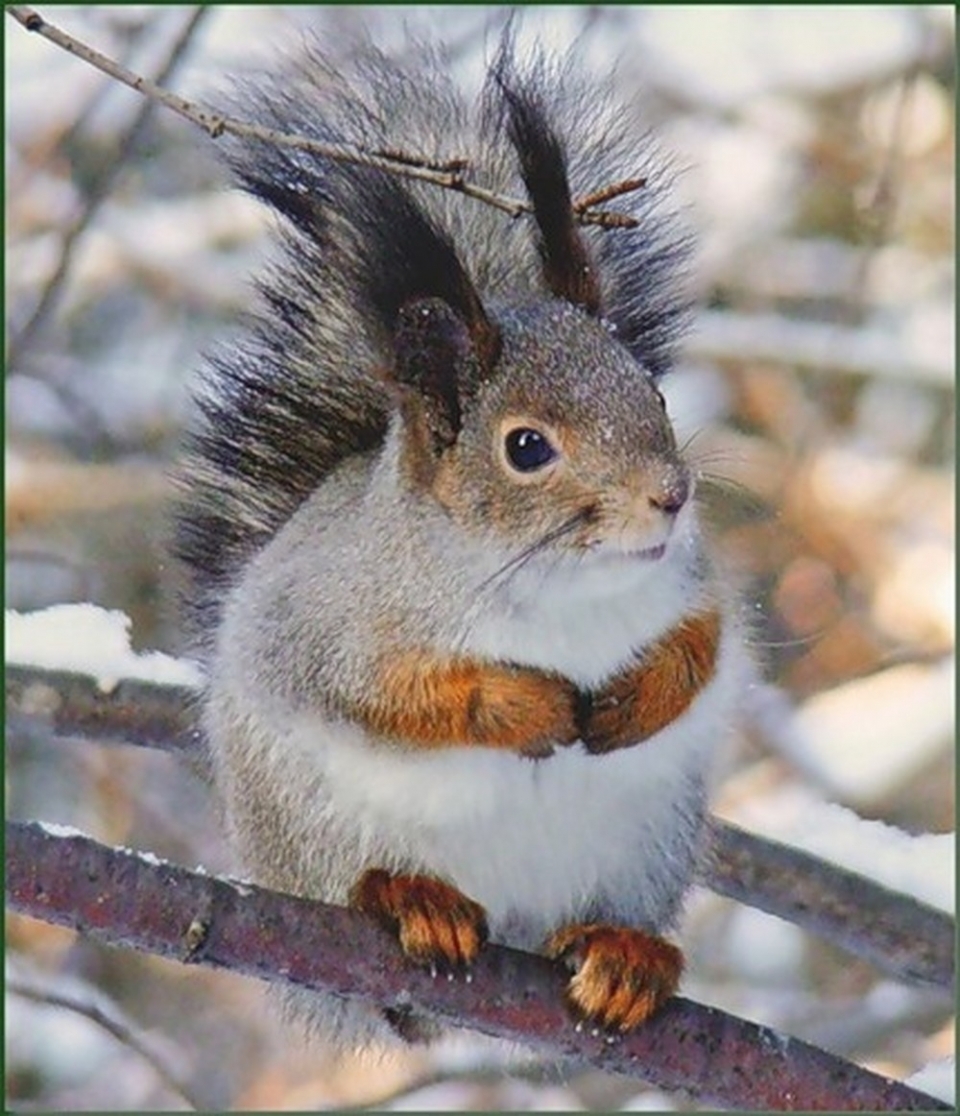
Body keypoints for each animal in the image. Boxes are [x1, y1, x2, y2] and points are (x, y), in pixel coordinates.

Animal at [173, 33, 750, 1048]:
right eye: (526, 447)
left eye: (652, 391)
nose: (671, 497)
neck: (565, 589)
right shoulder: (329, 626)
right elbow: (389, 699)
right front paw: (525, 706)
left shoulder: (693, 580)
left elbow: (706, 645)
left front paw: (640, 696)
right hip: (316, 829)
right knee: (363, 881)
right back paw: (411, 899)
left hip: (648, 847)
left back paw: (623, 956)